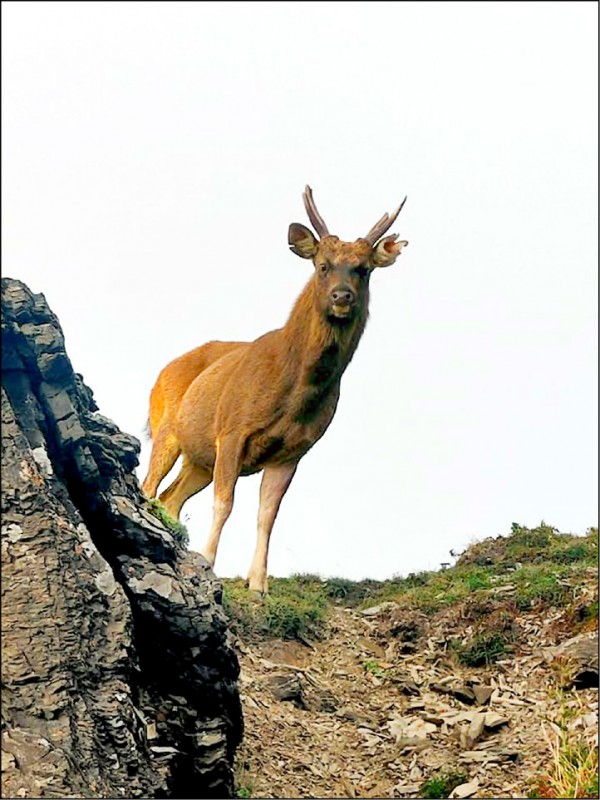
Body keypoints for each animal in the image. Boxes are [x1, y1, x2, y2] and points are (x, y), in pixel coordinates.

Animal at [143, 184, 410, 592]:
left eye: (363, 270)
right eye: (322, 265)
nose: (342, 296)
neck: (291, 394)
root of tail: (162, 372)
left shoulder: (294, 450)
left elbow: (267, 514)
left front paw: (258, 584)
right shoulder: (232, 429)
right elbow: (225, 503)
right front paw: (209, 563)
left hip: (199, 457)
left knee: (172, 498)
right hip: (166, 428)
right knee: (148, 487)